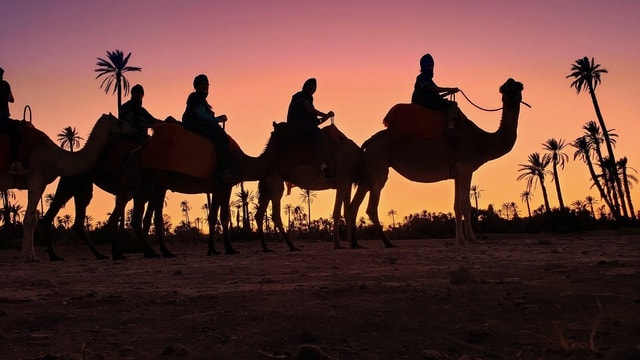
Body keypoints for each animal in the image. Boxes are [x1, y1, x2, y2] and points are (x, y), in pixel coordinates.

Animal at [0, 113, 135, 262]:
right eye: (119, 122)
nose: (133, 128)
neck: (58, 158)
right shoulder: (37, 178)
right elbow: (30, 219)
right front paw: (30, 256)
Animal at [255, 122, 364, 252]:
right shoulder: (342, 181)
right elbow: (337, 212)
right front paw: (338, 244)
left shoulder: (348, 182)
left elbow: (347, 212)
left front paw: (352, 244)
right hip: (275, 180)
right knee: (275, 214)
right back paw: (291, 246)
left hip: (267, 185)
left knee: (259, 214)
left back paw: (266, 248)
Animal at [350, 79, 524, 248]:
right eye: (509, 86)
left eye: (516, 85)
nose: (513, 84)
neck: (483, 142)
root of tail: (367, 144)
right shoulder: (466, 167)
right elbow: (465, 205)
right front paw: (471, 240)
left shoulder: (457, 172)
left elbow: (456, 205)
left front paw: (460, 240)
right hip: (378, 164)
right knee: (371, 206)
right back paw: (388, 243)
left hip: (367, 170)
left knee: (355, 204)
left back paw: (355, 244)